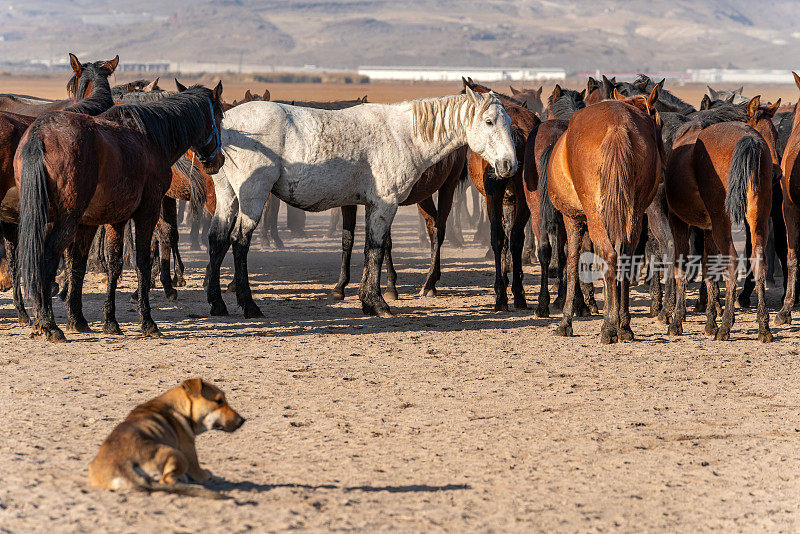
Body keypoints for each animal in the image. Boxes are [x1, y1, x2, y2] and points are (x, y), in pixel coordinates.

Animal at [18, 84, 225, 344]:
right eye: (221, 116)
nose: (219, 161)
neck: (152, 138)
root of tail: (40, 135)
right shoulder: (148, 211)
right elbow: (142, 262)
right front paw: (147, 322)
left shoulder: (114, 219)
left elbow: (109, 265)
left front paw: (107, 321)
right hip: (65, 221)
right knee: (45, 259)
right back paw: (49, 325)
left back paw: (42, 322)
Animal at [88, 378, 244, 500]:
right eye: (219, 401)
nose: (242, 420)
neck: (178, 408)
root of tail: (122, 466)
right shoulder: (190, 453)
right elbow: (202, 473)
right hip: (177, 455)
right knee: (167, 480)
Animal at [209, 88, 516, 318]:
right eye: (489, 121)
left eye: (510, 123)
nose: (509, 165)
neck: (403, 135)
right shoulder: (383, 205)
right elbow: (376, 250)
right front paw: (377, 302)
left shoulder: (368, 206)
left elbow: (370, 249)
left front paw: (368, 300)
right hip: (253, 196)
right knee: (239, 241)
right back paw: (249, 305)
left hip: (228, 197)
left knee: (217, 238)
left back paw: (217, 303)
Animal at [552, 85, 664, 342]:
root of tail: (617, 125)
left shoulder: (572, 219)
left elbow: (572, 263)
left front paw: (566, 321)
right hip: (633, 214)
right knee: (624, 257)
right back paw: (624, 325)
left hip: (594, 216)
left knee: (610, 256)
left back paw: (610, 327)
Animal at [664, 95, 780, 344]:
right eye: (770, 134)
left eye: (776, 135)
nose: (777, 173)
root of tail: (748, 139)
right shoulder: (707, 229)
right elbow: (708, 270)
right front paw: (709, 322)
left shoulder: (678, 221)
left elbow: (681, 267)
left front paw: (677, 321)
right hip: (757, 220)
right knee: (758, 261)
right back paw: (763, 327)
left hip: (721, 223)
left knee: (733, 262)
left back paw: (726, 326)